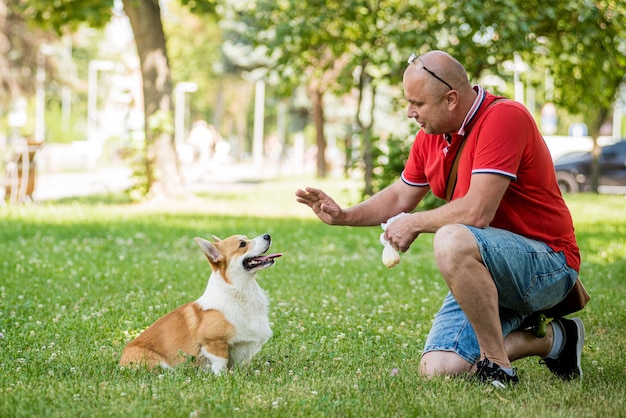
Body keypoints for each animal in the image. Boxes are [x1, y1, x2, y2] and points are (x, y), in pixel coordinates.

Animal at [119, 233, 280, 374]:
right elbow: (221, 362)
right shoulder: (213, 342)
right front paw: (221, 376)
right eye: (242, 244)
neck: (239, 291)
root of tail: (121, 362)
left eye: (246, 238)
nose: (268, 235)